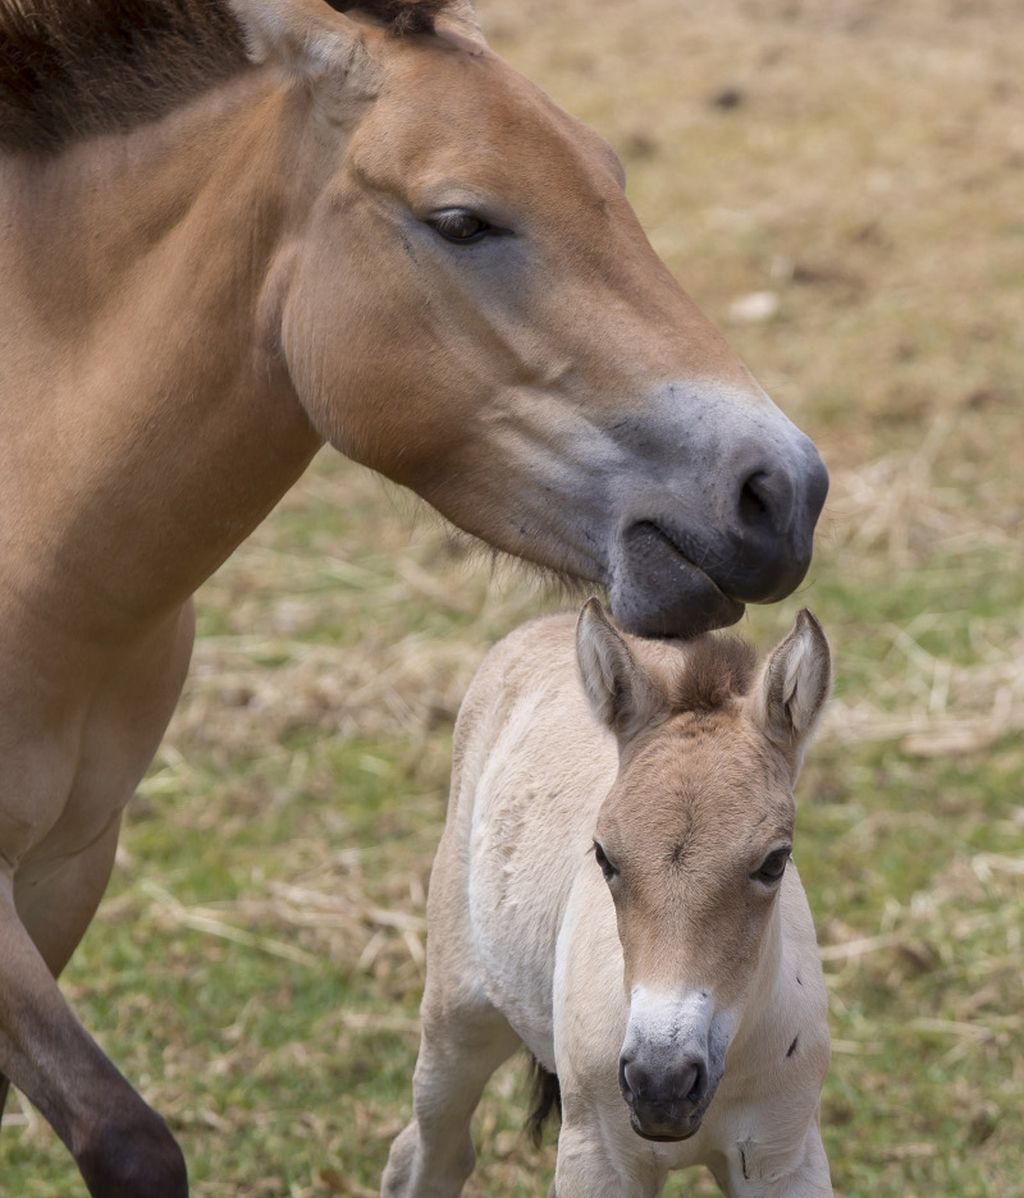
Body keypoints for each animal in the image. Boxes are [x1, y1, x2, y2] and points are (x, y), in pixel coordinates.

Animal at [384, 601, 833, 1197]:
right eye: (604, 856)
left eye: (775, 862)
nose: (661, 1083)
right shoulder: (596, 1159)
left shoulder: (783, 1157)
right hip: (457, 1021)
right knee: (429, 1156)